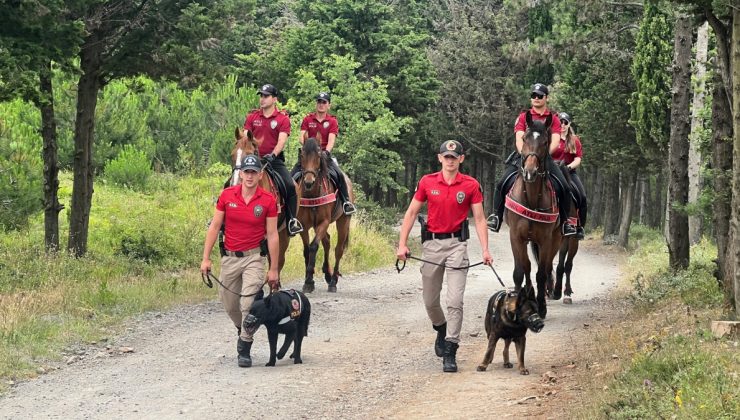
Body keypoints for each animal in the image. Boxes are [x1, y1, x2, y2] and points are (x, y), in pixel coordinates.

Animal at [294, 138, 352, 292]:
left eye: (319, 156)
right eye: (302, 156)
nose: (308, 182)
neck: (312, 194)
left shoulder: (324, 222)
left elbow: (314, 246)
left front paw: (309, 281)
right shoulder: (304, 225)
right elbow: (307, 249)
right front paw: (309, 279)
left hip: (343, 221)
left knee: (338, 249)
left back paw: (333, 281)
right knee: (327, 241)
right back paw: (327, 274)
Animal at [506, 116, 564, 316]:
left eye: (545, 142)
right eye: (524, 139)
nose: (530, 172)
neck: (531, 199)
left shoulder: (545, 240)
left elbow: (541, 273)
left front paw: (541, 307)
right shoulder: (516, 237)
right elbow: (520, 270)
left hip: (555, 239)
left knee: (546, 267)